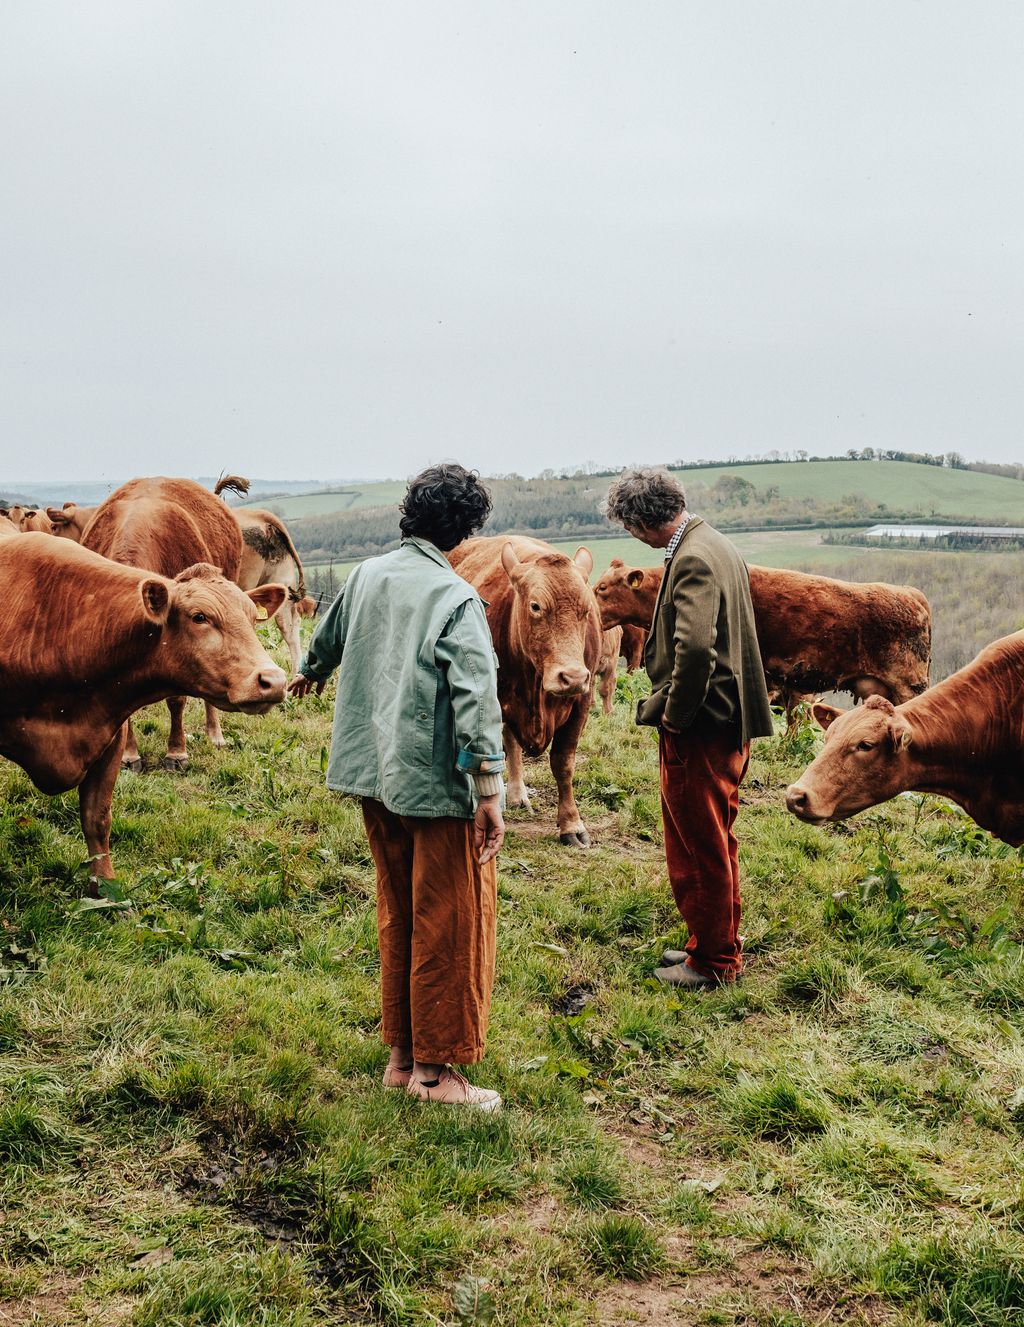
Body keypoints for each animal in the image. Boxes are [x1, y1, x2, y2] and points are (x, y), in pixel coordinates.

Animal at [0, 534, 287, 885]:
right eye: (200, 617)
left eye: (252, 618)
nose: (274, 680)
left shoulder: (109, 735)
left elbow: (97, 819)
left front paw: (105, 887)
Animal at [448, 536, 603, 846]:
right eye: (535, 606)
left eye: (586, 609)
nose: (572, 677)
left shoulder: (581, 703)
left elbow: (563, 763)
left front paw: (571, 824)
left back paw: (519, 795)